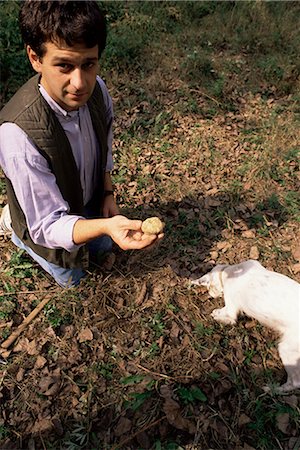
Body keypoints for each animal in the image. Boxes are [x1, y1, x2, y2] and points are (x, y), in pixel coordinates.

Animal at [192, 260, 300, 394]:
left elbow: (226, 316)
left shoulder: (231, 309)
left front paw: (215, 315)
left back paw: (272, 389)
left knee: (295, 382)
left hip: (287, 349)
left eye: (209, 287)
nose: (210, 294)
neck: (228, 270)